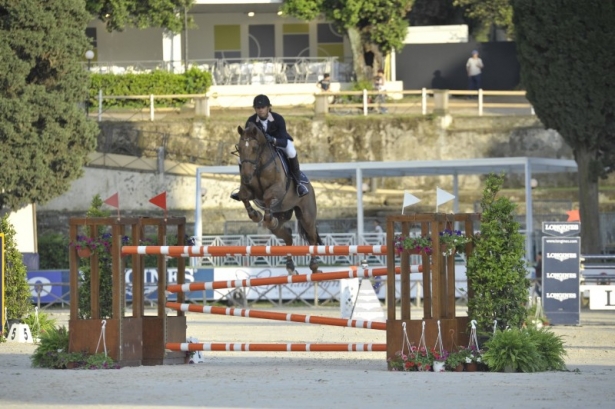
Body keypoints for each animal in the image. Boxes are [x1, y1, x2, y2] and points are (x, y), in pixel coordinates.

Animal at [235, 122, 324, 272]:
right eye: (239, 148)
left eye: (255, 148)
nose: (246, 176)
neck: (259, 166)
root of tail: (310, 187)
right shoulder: (249, 190)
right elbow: (243, 196)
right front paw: (255, 215)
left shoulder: (278, 189)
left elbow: (267, 196)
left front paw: (263, 217)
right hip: (283, 214)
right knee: (287, 236)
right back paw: (290, 266)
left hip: (306, 215)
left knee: (311, 237)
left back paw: (314, 266)